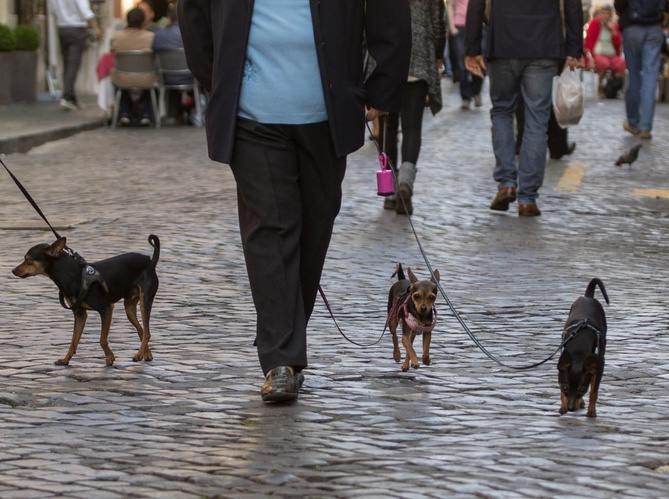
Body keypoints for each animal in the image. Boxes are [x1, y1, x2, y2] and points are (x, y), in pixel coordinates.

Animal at [13, 234, 160, 368]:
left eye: (28, 259)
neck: (74, 275)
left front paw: (109, 358)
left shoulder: (106, 308)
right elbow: (73, 341)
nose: (13, 270)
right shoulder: (80, 314)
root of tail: (150, 261)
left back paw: (139, 355)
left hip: (145, 301)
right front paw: (65, 360)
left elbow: (102, 339)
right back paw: (146, 354)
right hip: (129, 307)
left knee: (147, 332)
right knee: (142, 331)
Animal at [556, 280, 608, 416]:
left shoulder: (599, 367)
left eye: (582, 389)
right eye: (565, 387)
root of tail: (588, 297)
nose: (570, 408)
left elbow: (594, 392)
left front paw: (591, 412)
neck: (578, 352)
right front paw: (562, 406)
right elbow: (562, 393)